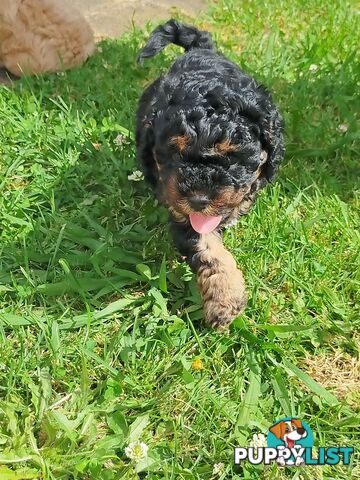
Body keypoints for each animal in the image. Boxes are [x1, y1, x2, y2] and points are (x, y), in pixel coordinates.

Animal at [135, 18, 284, 330]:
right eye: (173, 153)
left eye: (232, 157)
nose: (198, 200)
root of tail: (200, 49)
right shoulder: (183, 215)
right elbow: (208, 250)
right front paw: (225, 301)